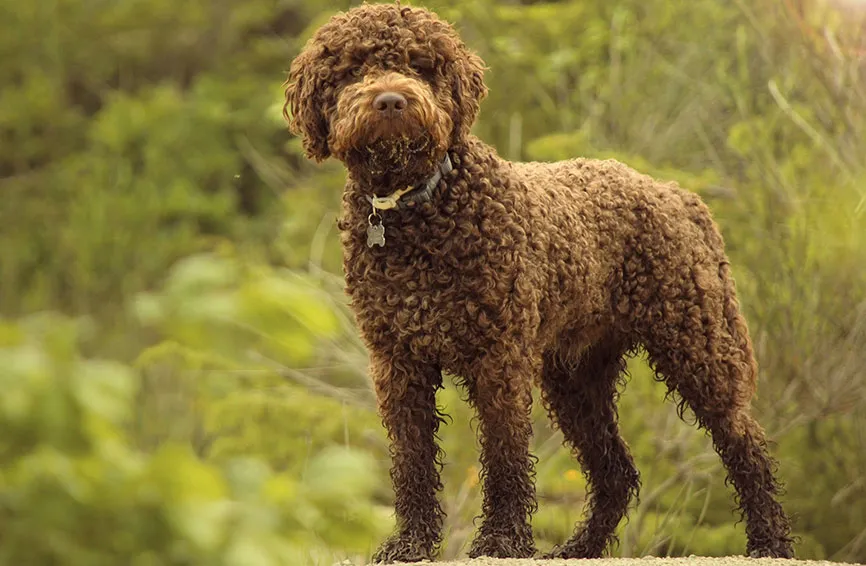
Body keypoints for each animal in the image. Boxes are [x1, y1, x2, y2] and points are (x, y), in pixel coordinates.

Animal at [282, 3, 788, 564]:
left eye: (420, 65)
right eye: (352, 70)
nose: (392, 100)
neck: (419, 210)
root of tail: (677, 193)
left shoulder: (499, 358)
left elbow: (504, 455)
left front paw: (501, 540)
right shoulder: (398, 363)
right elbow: (412, 460)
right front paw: (411, 542)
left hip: (698, 347)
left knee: (746, 444)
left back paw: (770, 541)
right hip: (576, 379)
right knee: (616, 472)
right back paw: (580, 547)